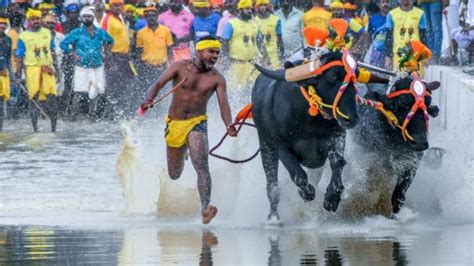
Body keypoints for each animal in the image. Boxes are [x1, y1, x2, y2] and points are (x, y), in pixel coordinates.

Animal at [252, 52, 360, 222]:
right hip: (266, 147)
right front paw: (307, 193)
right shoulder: (280, 145)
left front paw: (332, 198)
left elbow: (337, 162)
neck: (309, 119)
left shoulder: (337, 136)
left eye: (355, 76)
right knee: (272, 187)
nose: (351, 118)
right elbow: (299, 175)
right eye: (332, 75)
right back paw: (273, 218)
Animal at [356, 76, 440, 217]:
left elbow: (398, 196)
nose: (420, 142)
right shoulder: (372, 161)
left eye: (427, 104)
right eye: (402, 104)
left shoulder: (410, 165)